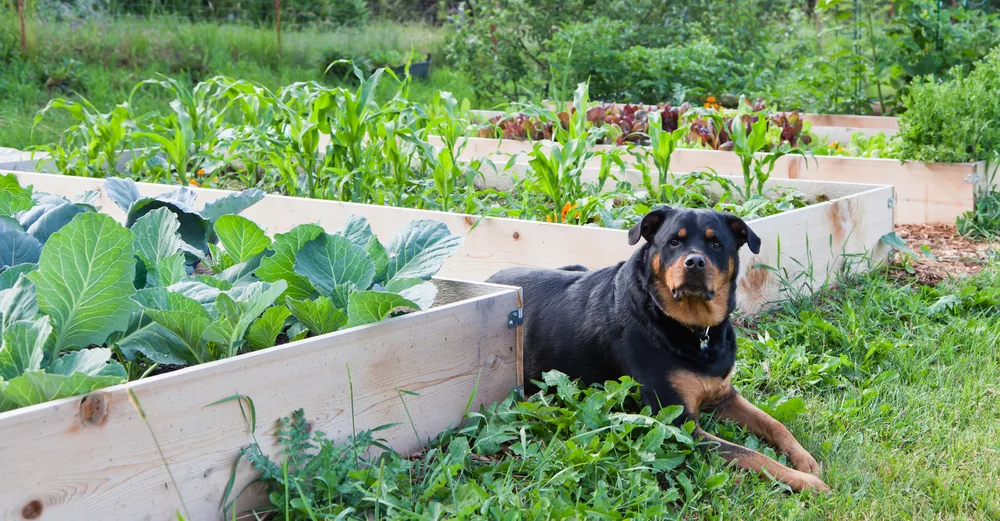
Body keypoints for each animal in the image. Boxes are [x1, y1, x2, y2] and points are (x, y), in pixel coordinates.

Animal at [490, 204, 828, 492]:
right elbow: (750, 454)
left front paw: (805, 460)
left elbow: (775, 423)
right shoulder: (678, 424)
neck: (692, 329)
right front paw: (806, 482)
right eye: (674, 242)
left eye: (716, 244)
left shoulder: (724, 395)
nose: (695, 262)